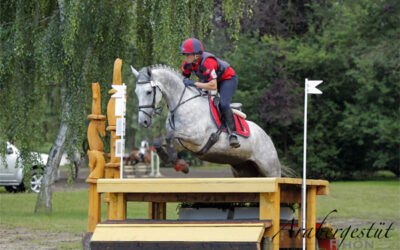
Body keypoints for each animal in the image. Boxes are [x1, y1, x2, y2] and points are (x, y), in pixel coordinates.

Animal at [131, 65, 282, 178]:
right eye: (136, 92)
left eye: (149, 92)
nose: (143, 122)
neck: (182, 103)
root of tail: (267, 137)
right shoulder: (180, 142)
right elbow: (159, 141)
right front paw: (177, 162)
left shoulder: (196, 138)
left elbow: (169, 136)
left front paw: (177, 162)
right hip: (243, 169)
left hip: (270, 169)